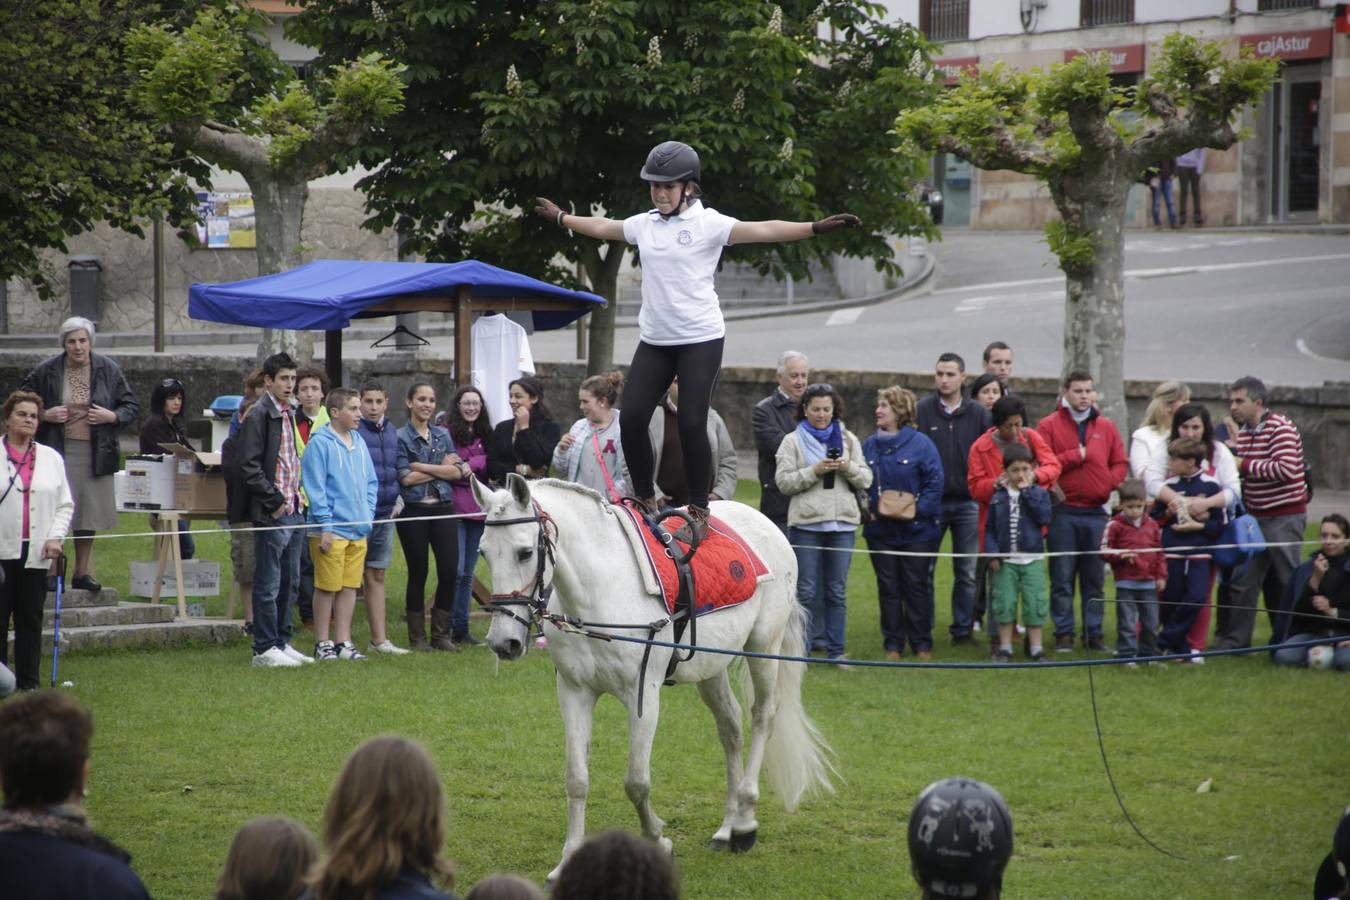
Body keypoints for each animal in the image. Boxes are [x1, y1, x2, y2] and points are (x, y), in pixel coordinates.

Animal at [472, 474, 831, 885]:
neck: (601, 593)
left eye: (525, 552)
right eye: (484, 553)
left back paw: (744, 823)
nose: (504, 643)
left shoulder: (643, 695)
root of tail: (763, 521)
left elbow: (636, 782)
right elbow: (576, 779)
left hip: (764, 649)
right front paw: (566, 861)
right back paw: (726, 829)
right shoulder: (574, 692)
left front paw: (659, 840)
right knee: (731, 728)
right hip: (712, 666)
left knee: (763, 718)